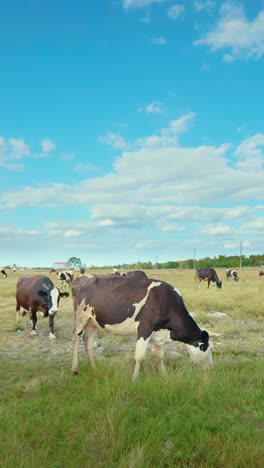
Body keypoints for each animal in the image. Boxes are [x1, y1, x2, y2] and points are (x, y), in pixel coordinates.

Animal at [70, 274, 212, 380]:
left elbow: (160, 356)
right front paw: (135, 379)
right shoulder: (145, 328)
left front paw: (164, 375)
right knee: (75, 339)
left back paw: (93, 368)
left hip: (93, 322)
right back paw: (74, 369)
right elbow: (139, 356)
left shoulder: (159, 333)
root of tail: (82, 277)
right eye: (210, 348)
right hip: (80, 318)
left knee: (88, 341)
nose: (211, 368)